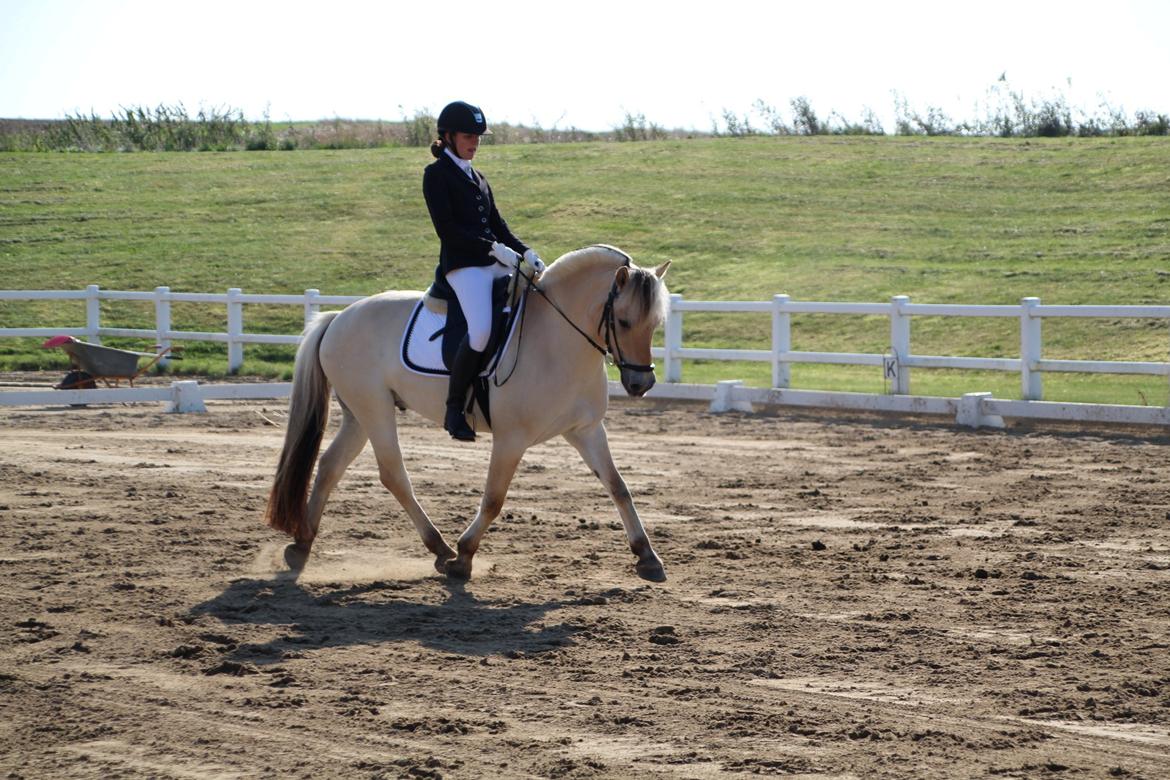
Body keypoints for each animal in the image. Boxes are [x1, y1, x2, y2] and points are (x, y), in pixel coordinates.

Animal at [262, 246, 673, 582]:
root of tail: (338, 317)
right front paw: (463, 557)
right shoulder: (511, 439)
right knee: (394, 475)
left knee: (331, 465)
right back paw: (440, 548)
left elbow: (618, 486)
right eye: (623, 321)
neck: (558, 339)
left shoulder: (586, 430)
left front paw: (647, 556)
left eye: (655, 324)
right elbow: (493, 499)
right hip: (374, 409)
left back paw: (301, 545)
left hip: (359, 414)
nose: (641, 383)